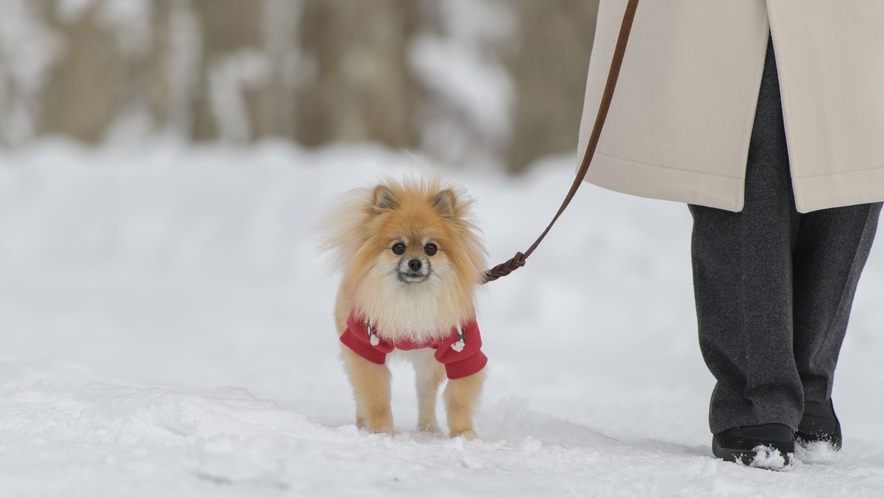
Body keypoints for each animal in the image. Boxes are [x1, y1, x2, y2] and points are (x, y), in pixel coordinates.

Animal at [322, 176, 490, 440]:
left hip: (429, 360)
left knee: (425, 391)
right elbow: (375, 394)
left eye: (431, 248)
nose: (415, 263)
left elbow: (457, 397)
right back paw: (362, 421)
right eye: (398, 248)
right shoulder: (365, 347)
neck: (412, 300)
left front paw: (463, 433)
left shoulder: (462, 349)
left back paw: (428, 425)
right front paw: (381, 428)